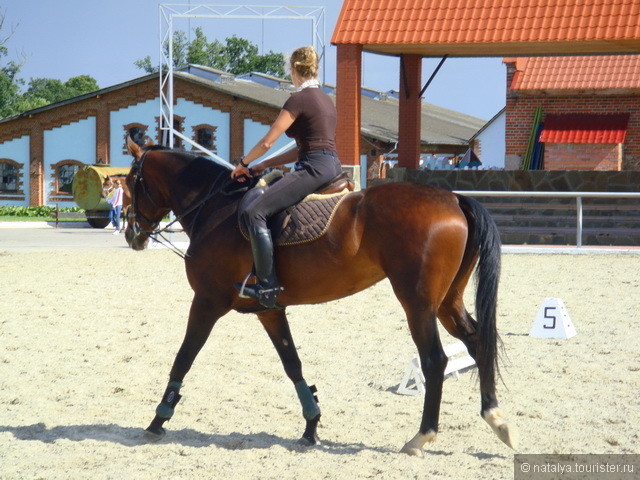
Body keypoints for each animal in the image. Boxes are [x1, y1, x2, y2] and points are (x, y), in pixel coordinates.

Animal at [124, 138, 516, 454]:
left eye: (129, 181)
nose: (131, 233)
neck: (214, 207)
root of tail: (453, 198)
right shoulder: (269, 310)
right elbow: (292, 363)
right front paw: (311, 425)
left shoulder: (207, 301)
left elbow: (184, 356)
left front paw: (158, 420)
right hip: (447, 302)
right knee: (477, 341)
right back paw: (496, 419)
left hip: (418, 303)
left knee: (435, 360)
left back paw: (421, 437)